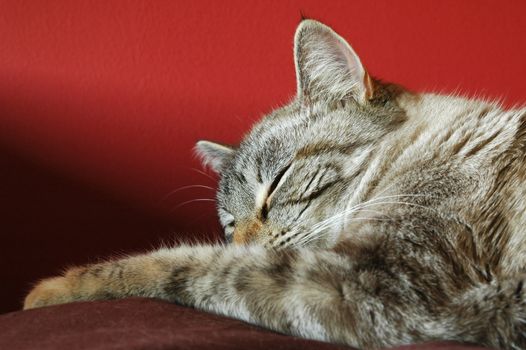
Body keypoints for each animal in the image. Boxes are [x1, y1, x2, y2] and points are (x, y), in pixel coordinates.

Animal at [23, 19, 526, 350]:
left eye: (277, 182)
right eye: (230, 223)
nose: (243, 241)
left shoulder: (369, 281)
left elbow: (179, 264)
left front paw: (50, 290)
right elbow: (197, 259)